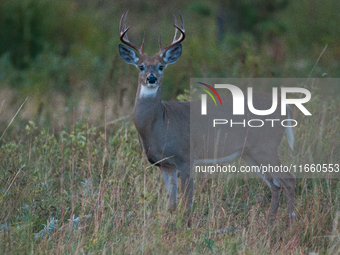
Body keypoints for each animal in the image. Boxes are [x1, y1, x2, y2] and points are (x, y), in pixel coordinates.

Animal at [118, 11, 294, 227]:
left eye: (161, 66)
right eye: (141, 66)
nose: (152, 78)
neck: (160, 124)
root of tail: (285, 107)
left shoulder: (186, 157)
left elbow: (187, 202)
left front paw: (186, 227)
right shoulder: (165, 165)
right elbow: (171, 204)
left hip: (266, 146)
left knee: (288, 180)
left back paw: (291, 221)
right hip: (251, 152)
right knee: (275, 184)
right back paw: (269, 222)